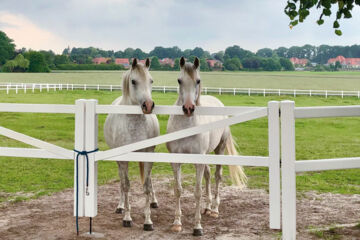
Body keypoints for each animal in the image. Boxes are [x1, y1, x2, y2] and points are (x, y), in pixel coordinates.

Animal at [105, 58, 160, 231]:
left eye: (151, 80)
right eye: (134, 81)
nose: (148, 106)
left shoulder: (148, 155)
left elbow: (147, 186)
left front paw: (148, 221)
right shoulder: (123, 159)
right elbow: (126, 185)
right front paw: (127, 218)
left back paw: (154, 201)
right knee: (122, 181)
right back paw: (120, 206)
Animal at [167, 56, 248, 236]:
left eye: (197, 80)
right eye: (179, 80)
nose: (188, 108)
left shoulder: (199, 161)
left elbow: (197, 192)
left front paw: (197, 226)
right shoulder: (176, 161)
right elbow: (178, 190)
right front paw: (176, 223)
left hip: (219, 149)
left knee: (217, 176)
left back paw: (215, 210)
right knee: (209, 175)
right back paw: (208, 207)